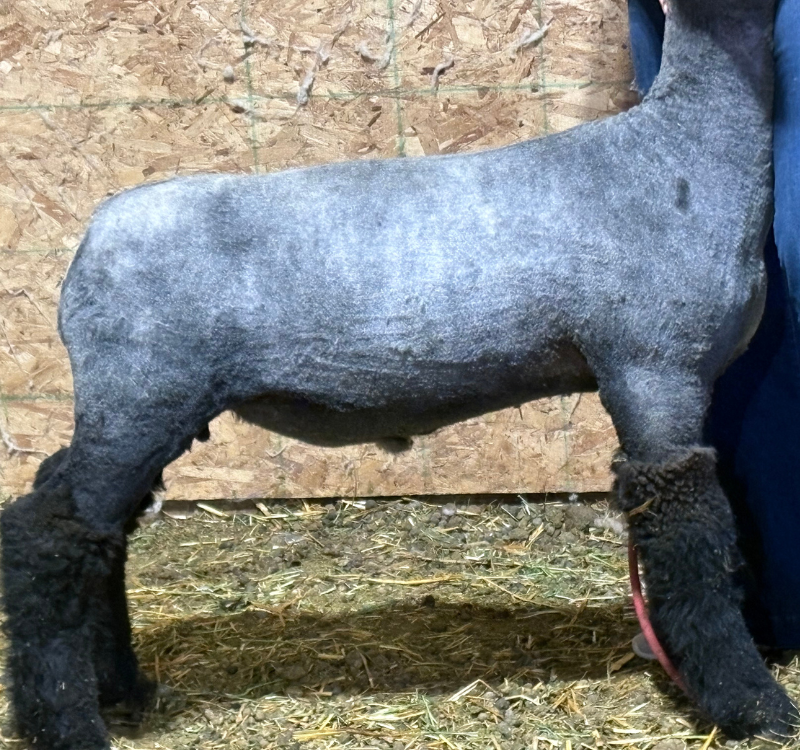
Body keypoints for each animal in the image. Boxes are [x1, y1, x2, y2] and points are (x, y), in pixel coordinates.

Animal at [1, 0, 795, 747]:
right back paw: (67, 721)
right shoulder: (654, 365)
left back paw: (121, 687)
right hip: (142, 391)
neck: (676, 152)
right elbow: (690, 535)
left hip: (142, 404)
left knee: (88, 522)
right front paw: (753, 705)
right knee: (50, 537)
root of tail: (89, 243)